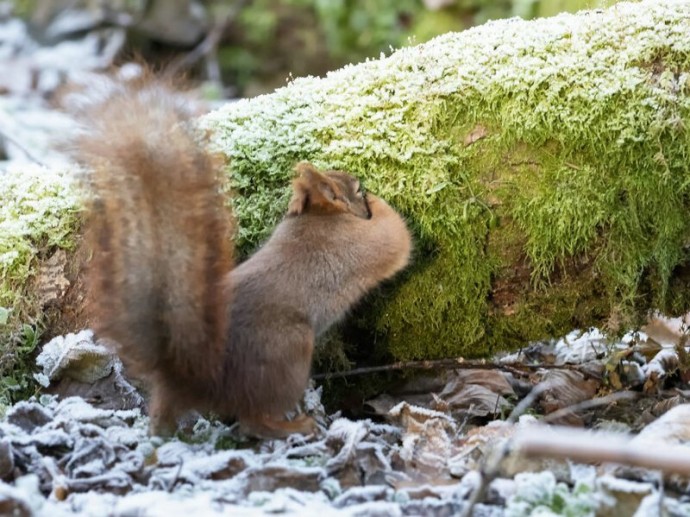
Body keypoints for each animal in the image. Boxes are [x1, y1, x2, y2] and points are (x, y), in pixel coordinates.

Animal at [75, 82, 408, 438]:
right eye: (356, 189)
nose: (363, 184)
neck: (316, 218)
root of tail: (190, 375)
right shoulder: (361, 243)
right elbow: (396, 238)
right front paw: (379, 200)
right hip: (288, 354)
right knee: (253, 420)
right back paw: (298, 425)